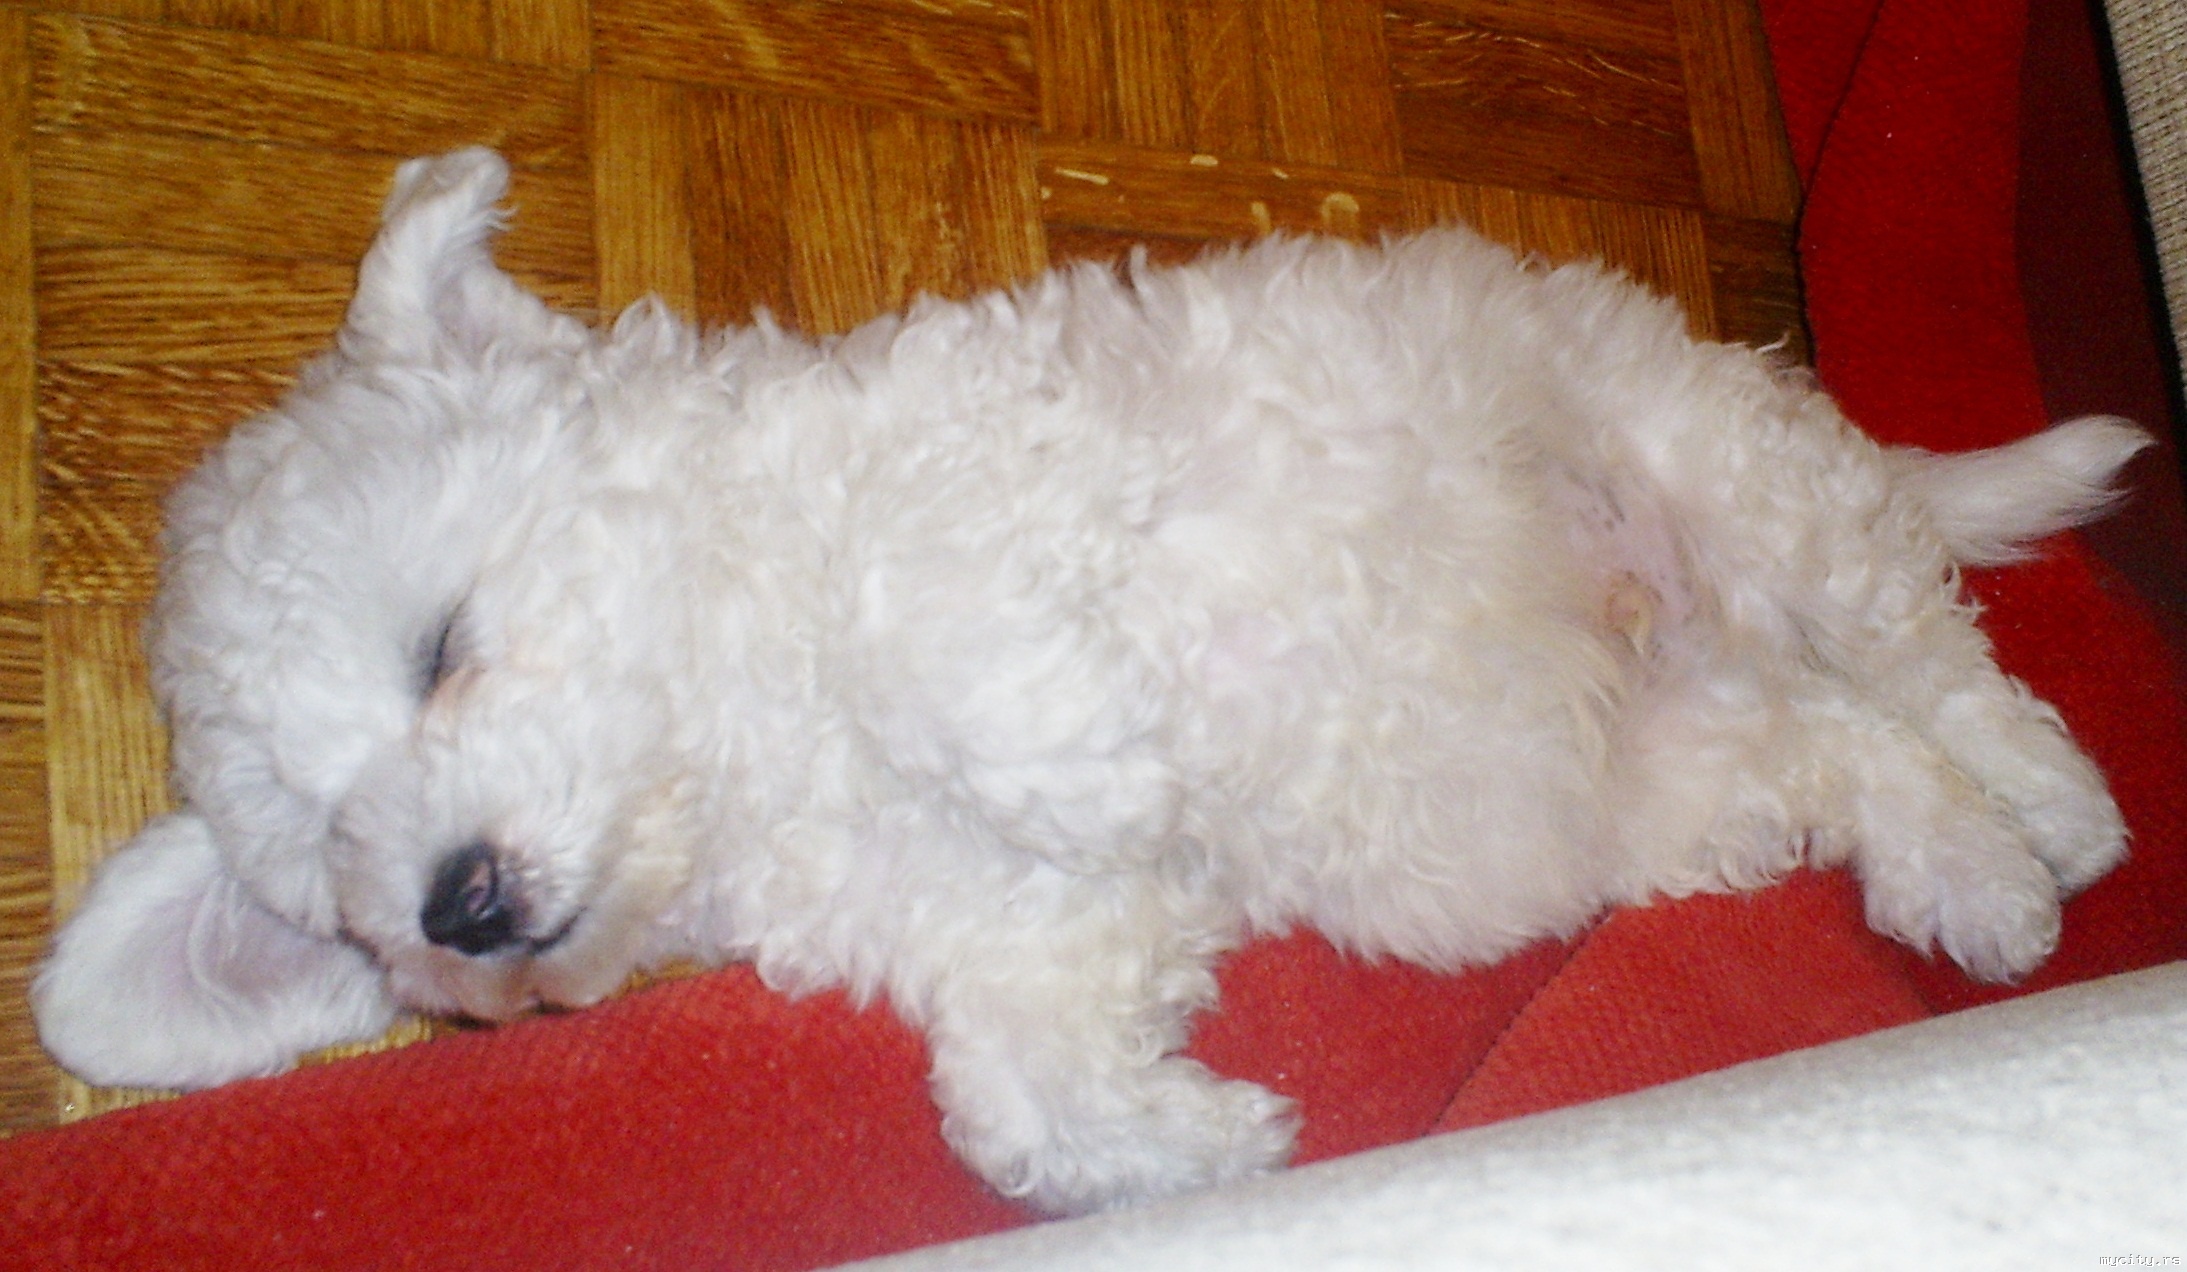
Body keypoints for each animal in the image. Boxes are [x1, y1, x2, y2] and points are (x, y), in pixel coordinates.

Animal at [32, 148, 2146, 1214]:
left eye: (441, 646)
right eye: (336, 863)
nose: (456, 900)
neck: (745, 764)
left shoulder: (958, 513)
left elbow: (968, 657)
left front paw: (1088, 755)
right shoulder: (1005, 939)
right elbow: (1014, 1098)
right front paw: (1204, 1150)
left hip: (1729, 472)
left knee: (1917, 635)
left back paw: (2049, 809)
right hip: (1658, 780)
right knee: (1836, 738)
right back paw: (1966, 876)